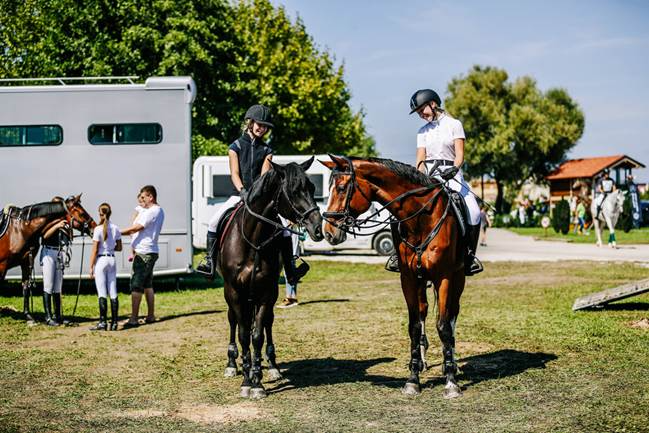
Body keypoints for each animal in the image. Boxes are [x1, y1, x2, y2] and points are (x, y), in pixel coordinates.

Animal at [220, 156, 324, 398]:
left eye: (312, 187)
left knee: (267, 323)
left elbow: (257, 335)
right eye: (294, 191)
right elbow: (243, 334)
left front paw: (257, 382)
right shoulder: (234, 292)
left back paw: (273, 367)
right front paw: (246, 381)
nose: (317, 228)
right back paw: (232, 364)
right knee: (233, 321)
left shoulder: (267, 292)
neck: (253, 241)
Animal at [322, 154, 466, 398]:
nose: (328, 232)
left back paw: (451, 364)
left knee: (452, 315)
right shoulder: (408, 278)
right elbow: (414, 327)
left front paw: (451, 382)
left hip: (459, 277)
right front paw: (413, 379)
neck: (421, 219)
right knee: (425, 312)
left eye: (341, 188)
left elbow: (444, 326)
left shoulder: (444, 276)